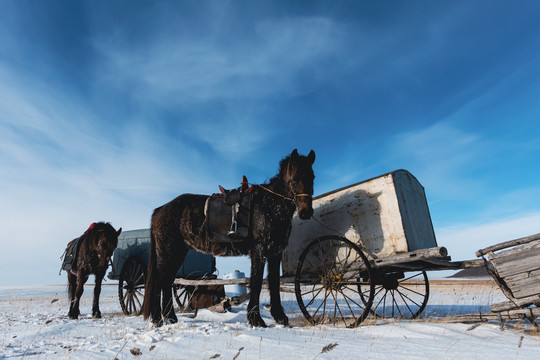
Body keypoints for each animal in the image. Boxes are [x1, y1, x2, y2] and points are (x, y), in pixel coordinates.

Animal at [142, 148, 316, 326]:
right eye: (295, 178)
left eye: (312, 177)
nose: (306, 212)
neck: (269, 206)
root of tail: (160, 210)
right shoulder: (259, 251)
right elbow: (257, 282)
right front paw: (256, 319)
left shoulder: (275, 252)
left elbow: (273, 282)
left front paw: (280, 317)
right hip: (168, 254)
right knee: (159, 282)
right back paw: (158, 318)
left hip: (177, 254)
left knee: (167, 282)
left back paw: (171, 318)